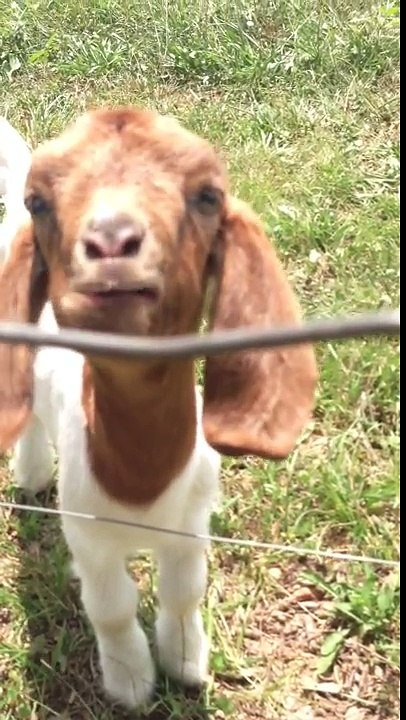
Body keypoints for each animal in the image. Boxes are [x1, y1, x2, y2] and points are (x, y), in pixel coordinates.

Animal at [0, 107, 317, 709]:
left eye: (208, 196)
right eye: (39, 202)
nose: (110, 239)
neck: (141, 483)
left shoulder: (191, 525)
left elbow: (183, 591)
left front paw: (187, 661)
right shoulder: (89, 535)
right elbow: (111, 606)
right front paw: (130, 679)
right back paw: (30, 472)